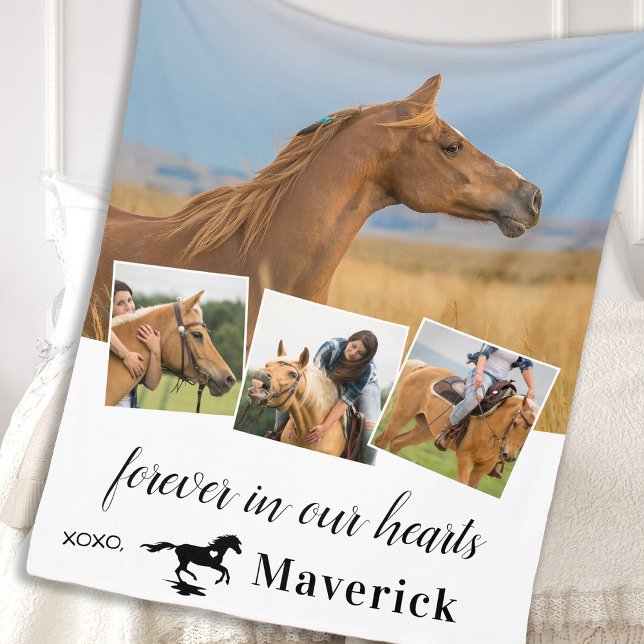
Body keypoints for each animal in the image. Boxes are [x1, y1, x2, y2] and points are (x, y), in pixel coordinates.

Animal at [375, 360, 537, 488]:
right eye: (515, 423)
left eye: (528, 434)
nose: (508, 456)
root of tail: (426, 367)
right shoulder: (465, 458)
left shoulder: (483, 467)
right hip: (401, 415)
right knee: (382, 441)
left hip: (424, 429)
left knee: (397, 443)